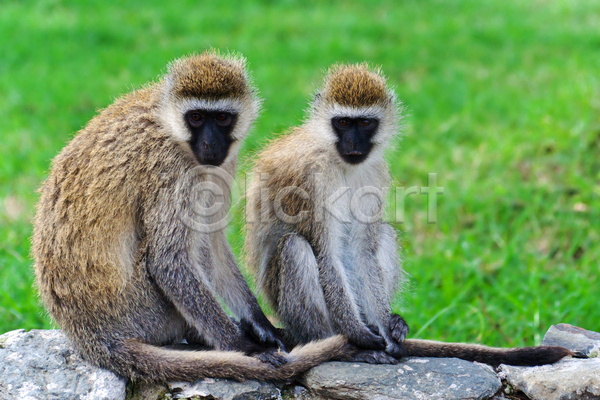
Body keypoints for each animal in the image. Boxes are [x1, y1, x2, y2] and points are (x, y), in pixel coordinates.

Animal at [31, 51, 352, 382]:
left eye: (221, 117)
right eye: (196, 117)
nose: (210, 144)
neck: (169, 123)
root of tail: (91, 335)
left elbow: (213, 240)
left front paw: (261, 326)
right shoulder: (173, 169)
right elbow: (169, 261)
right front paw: (246, 348)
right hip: (143, 311)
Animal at [246, 64, 580, 368]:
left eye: (364, 123)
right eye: (342, 122)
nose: (353, 144)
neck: (338, 161)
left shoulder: (375, 173)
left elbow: (359, 250)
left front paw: (385, 327)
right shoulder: (309, 180)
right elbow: (326, 254)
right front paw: (360, 335)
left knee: (381, 233)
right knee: (295, 246)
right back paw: (338, 344)